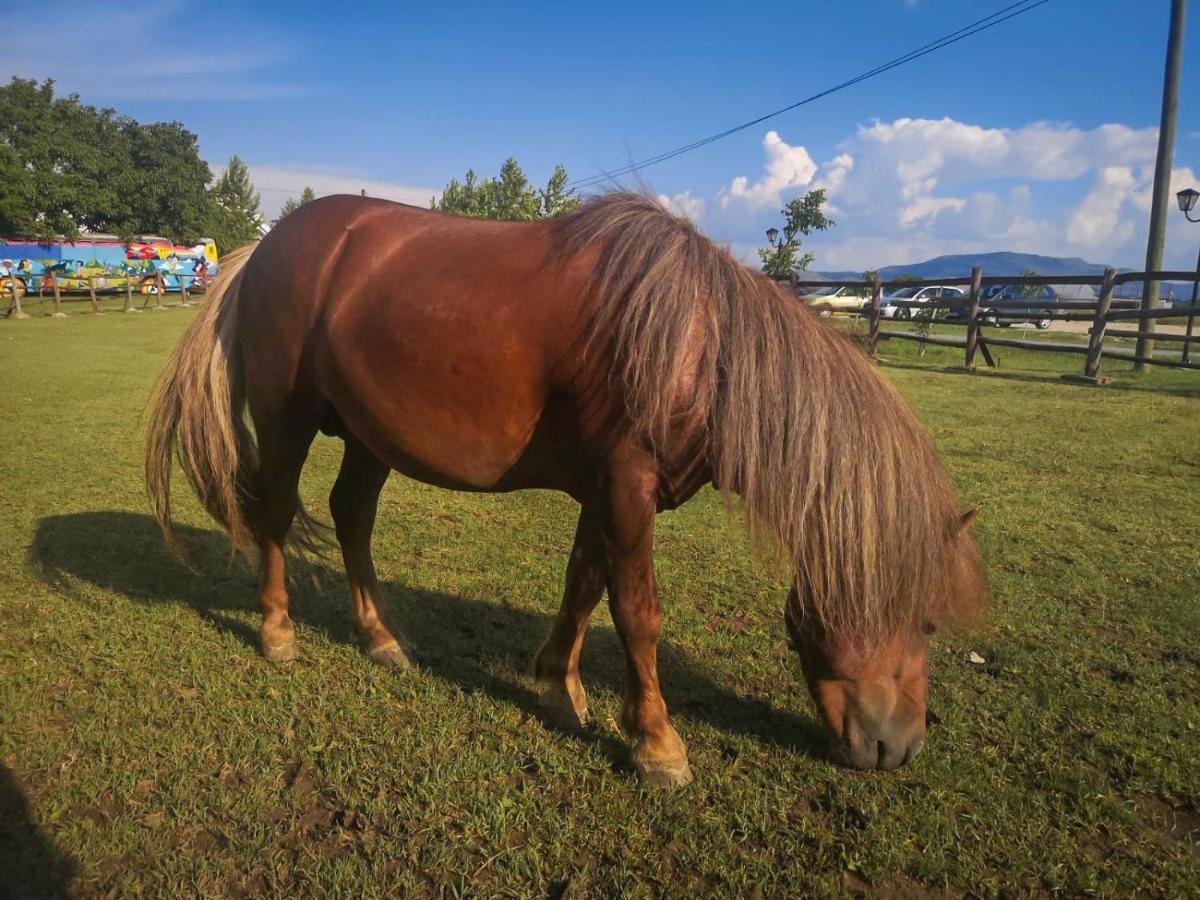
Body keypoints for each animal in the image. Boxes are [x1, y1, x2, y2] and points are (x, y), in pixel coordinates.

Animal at [145, 192, 984, 787]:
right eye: (924, 619)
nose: (898, 746)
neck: (690, 344)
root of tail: (266, 247)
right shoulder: (626, 485)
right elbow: (637, 611)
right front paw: (657, 744)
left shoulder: (608, 492)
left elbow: (583, 585)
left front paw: (558, 687)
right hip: (285, 418)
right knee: (275, 513)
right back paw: (277, 631)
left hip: (367, 435)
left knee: (351, 516)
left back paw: (381, 638)